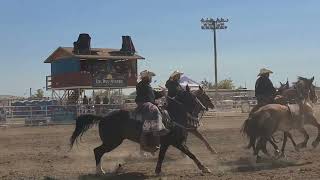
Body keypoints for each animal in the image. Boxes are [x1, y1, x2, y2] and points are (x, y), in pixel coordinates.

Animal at [69, 86, 212, 175]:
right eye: (195, 96)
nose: (203, 107)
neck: (172, 115)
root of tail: (103, 117)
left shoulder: (166, 143)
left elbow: (162, 156)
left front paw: (157, 170)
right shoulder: (177, 142)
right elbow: (191, 154)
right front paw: (205, 168)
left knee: (97, 151)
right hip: (112, 142)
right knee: (97, 151)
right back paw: (100, 171)